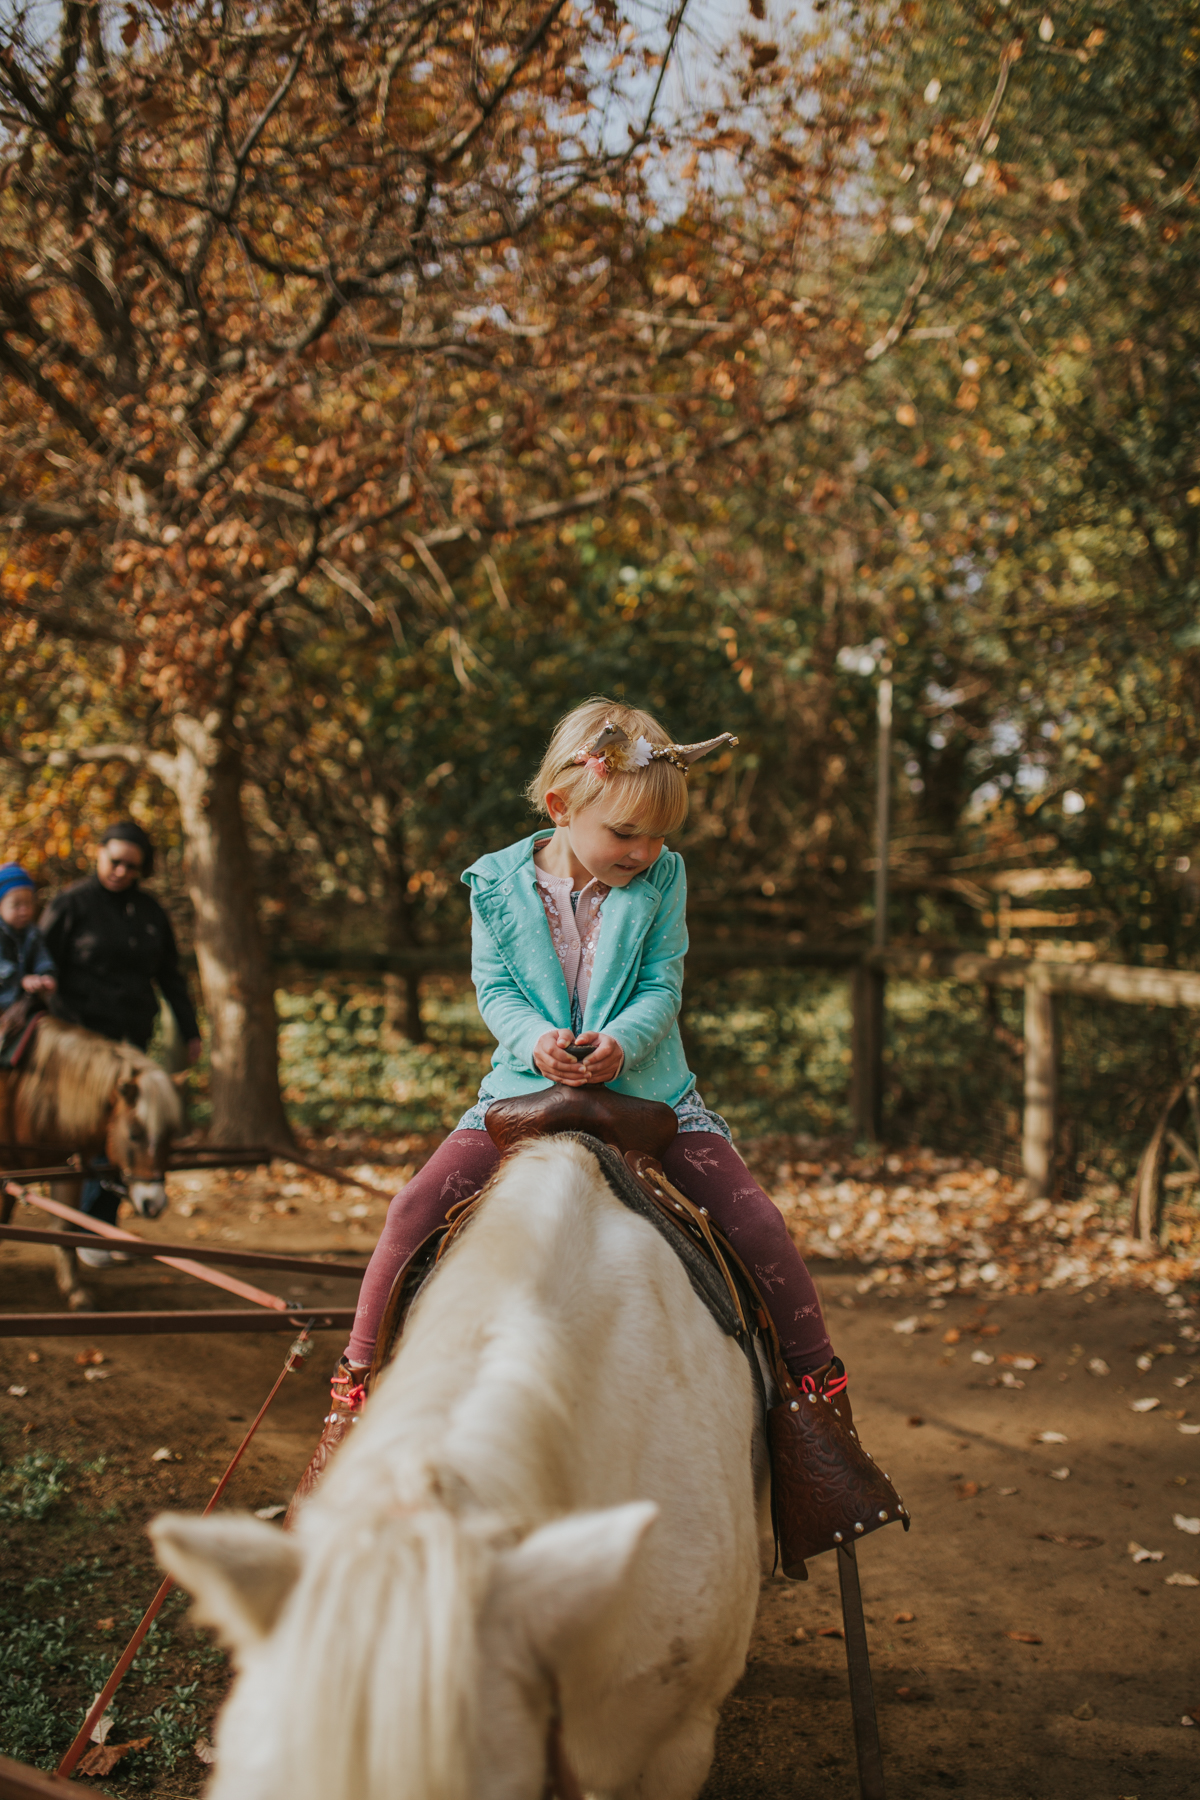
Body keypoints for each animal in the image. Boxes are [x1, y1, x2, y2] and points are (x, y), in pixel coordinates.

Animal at [0, 1029, 185, 1310]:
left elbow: (65, 1228)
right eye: (134, 1134)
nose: (154, 1204)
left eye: (171, 1135)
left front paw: (74, 1291)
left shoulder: (65, 1168)